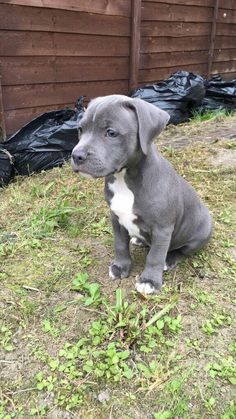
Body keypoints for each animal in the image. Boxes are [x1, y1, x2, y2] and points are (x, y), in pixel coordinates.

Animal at [71, 94, 213, 296]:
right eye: (80, 129)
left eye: (111, 133)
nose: (77, 155)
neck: (124, 179)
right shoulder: (116, 218)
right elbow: (120, 245)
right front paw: (120, 267)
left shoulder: (162, 229)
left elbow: (155, 256)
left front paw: (149, 281)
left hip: (201, 233)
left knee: (182, 250)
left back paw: (169, 259)